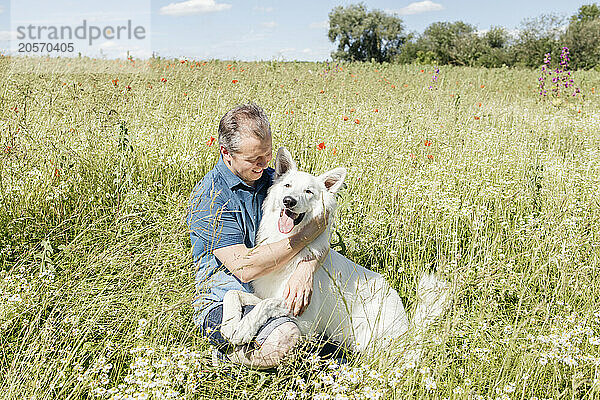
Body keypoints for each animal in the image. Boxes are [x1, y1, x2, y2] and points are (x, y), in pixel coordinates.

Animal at [219, 148, 446, 358]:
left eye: (308, 192)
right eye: (287, 186)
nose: (289, 201)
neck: (287, 242)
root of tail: (406, 326)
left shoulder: (303, 317)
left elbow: (266, 305)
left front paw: (245, 327)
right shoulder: (263, 294)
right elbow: (233, 294)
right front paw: (230, 324)